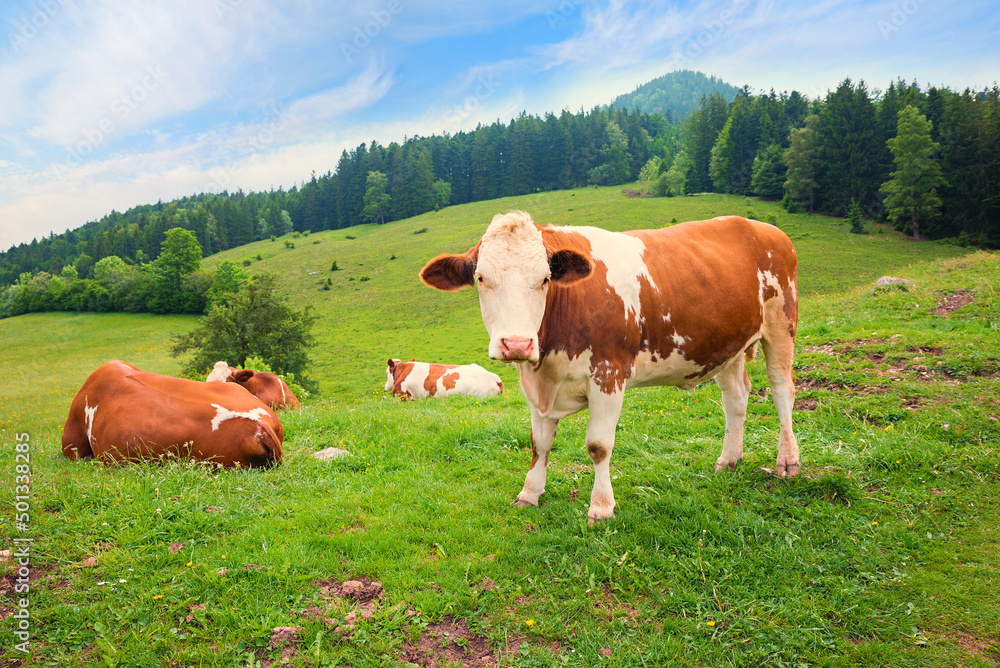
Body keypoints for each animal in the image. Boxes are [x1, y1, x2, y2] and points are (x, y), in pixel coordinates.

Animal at [418, 210, 800, 520]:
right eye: (481, 278)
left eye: (544, 279)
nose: (516, 344)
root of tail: (761, 226)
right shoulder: (537, 385)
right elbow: (539, 442)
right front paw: (530, 493)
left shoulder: (608, 376)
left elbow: (598, 446)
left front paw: (601, 507)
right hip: (728, 345)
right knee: (735, 398)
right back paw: (729, 459)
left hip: (781, 323)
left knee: (782, 389)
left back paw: (788, 460)